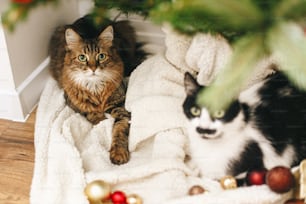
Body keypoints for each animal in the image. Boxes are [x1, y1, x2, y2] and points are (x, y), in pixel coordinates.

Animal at [49, 16, 146, 166]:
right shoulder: (72, 101)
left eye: (101, 56)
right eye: (82, 57)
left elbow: (119, 130)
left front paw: (118, 154)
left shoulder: (120, 106)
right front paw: (101, 120)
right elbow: (91, 113)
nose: (93, 69)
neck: (95, 87)